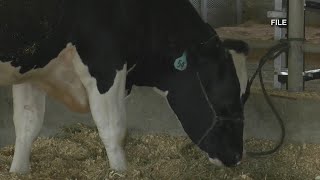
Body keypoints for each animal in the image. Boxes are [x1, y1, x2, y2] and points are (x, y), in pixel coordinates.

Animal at [0, 0, 249, 174]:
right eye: (225, 101)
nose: (236, 156)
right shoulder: (106, 65)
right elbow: (113, 129)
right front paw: (120, 171)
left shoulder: (33, 67)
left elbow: (27, 126)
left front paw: (18, 171)